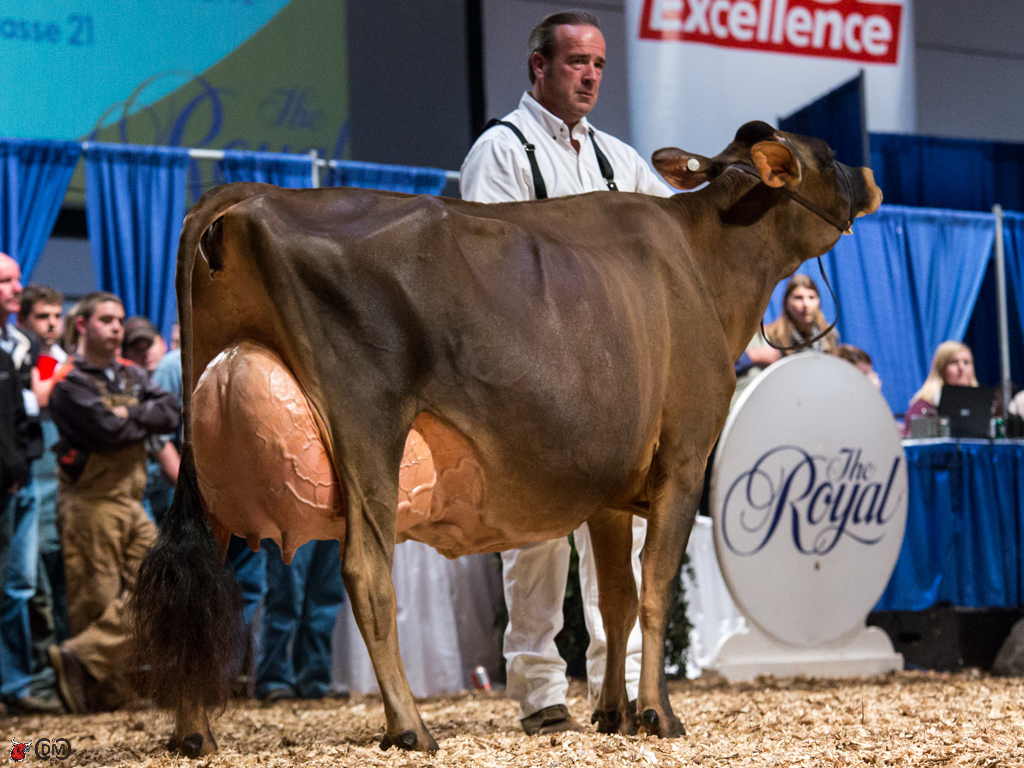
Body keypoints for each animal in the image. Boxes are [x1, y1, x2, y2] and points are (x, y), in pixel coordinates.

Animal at [130, 120, 882, 757]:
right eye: (828, 156)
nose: (872, 175)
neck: (707, 265)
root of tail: (250, 196)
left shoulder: (611, 493)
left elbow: (613, 602)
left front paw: (611, 714)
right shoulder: (684, 460)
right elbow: (656, 588)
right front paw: (658, 714)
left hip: (214, 459)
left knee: (201, 580)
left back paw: (195, 732)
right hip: (368, 427)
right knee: (365, 572)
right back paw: (410, 727)